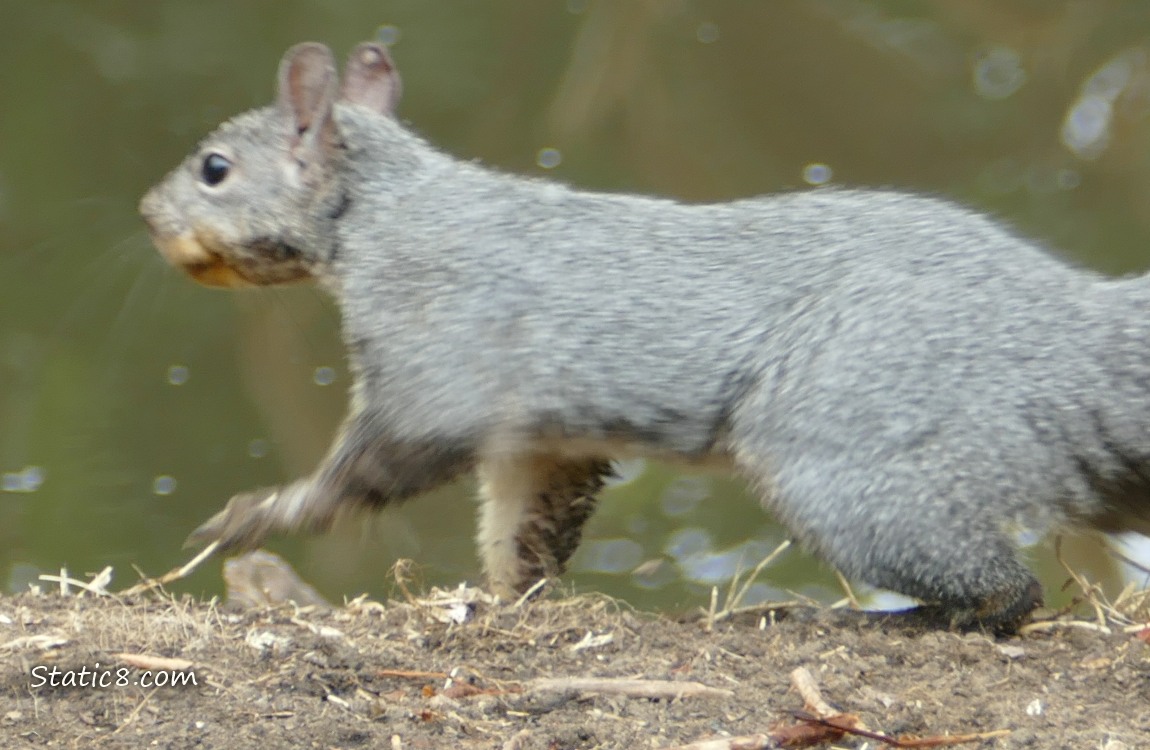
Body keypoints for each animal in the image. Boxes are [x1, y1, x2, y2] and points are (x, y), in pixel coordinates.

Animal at [140, 41, 1150, 632]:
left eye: (215, 169)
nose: (148, 214)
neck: (388, 211)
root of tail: (1072, 342)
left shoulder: (438, 360)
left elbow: (369, 471)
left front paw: (256, 516)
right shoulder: (541, 435)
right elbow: (525, 526)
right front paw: (511, 598)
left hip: (853, 468)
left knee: (1005, 592)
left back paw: (890, 619)